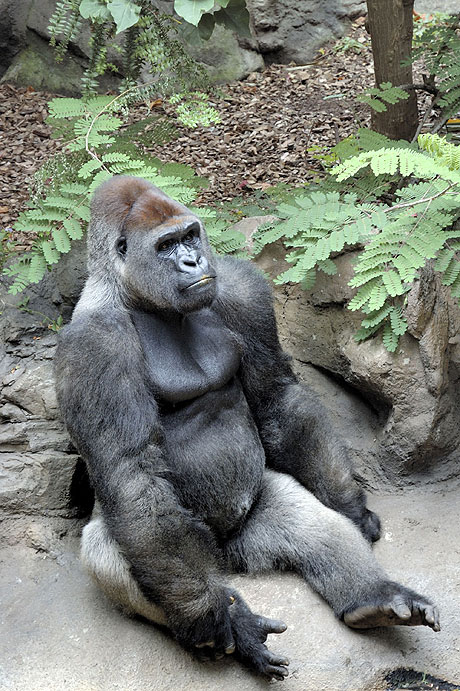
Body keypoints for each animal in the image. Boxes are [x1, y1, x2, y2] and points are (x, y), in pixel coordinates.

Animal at [55, 177, 440, 680]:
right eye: (165, 246)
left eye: (190, 236)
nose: (193, 261)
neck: (133, 293)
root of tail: (228, 561)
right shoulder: (92, 348)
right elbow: (133, 477)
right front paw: (213, 617)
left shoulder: (239, 288)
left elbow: (274, 396)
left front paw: (351, 506)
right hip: (199, 562)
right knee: (112, 550)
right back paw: (232, 628)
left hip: (250, 524)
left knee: (304, 516)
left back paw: (372, 599)